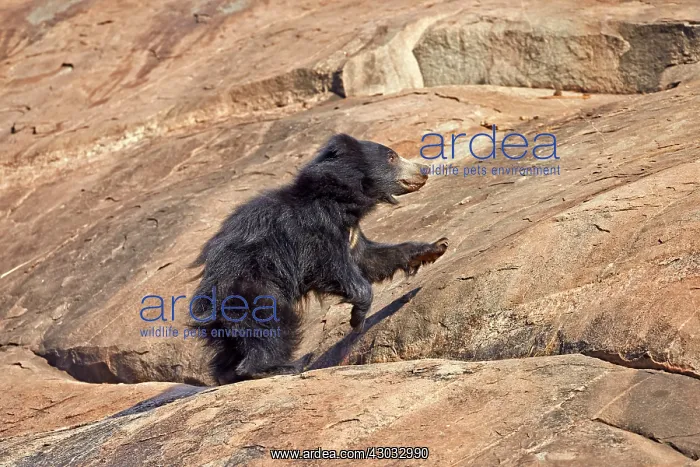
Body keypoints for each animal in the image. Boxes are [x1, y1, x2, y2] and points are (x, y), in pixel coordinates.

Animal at [190, 133, 449, 384]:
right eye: (391, 157)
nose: (425, 169)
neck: (340, 201)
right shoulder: (315, 232)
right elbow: (335, 270)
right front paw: (357, 319)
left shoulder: (351, 234)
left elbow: (372, 259)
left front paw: (437, 247)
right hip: (251, 287)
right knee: (269, 324)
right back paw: (278, 367)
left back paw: (227, 375)